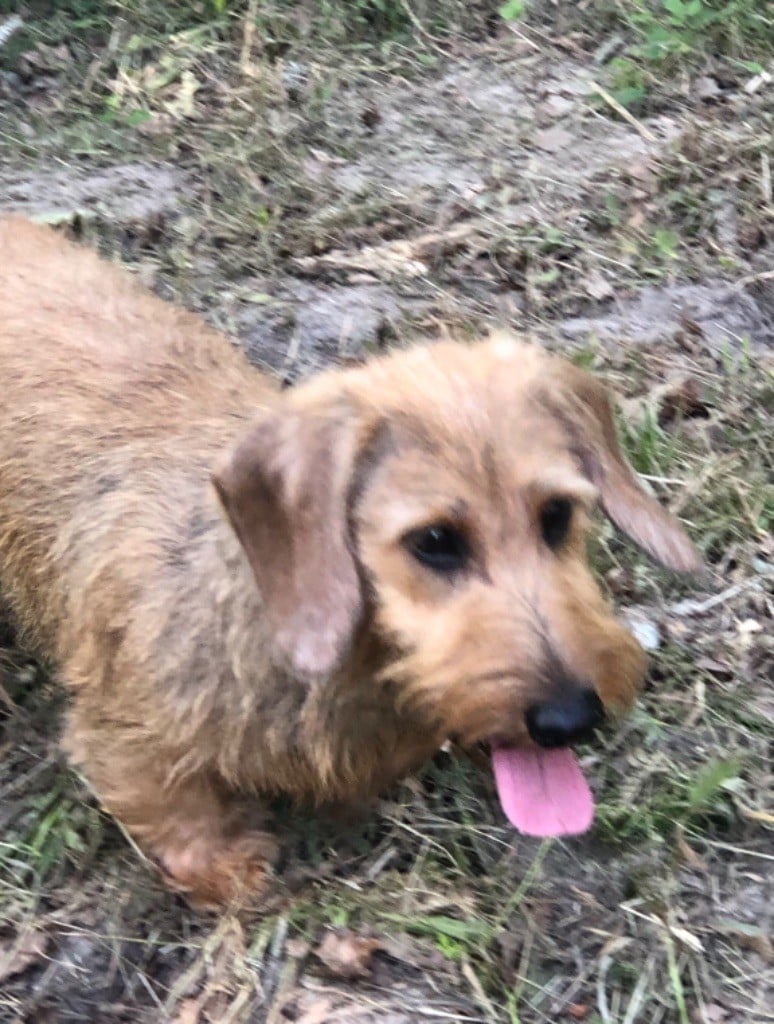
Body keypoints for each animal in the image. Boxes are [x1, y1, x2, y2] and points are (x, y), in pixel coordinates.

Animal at [0, 220, 700, 909]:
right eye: (435, 540)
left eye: (556, 514)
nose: (571, 719)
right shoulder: (126, 728)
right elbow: (172, 802)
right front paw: (225, 866)